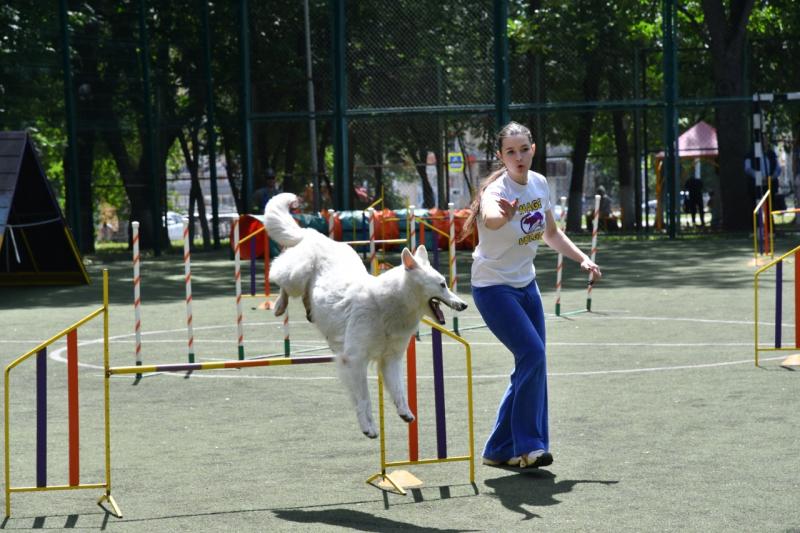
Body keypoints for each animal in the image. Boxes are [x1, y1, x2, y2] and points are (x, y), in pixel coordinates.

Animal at [266, 193, 466, 438]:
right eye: (442, 284)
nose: (464, 305)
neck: (389, 306)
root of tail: (313, 233)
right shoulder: (354, 360)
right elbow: (364, 399)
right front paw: (368, 427)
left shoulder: (391, 360)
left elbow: (399, 390)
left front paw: (405, 412)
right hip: (296, 276)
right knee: (280, 278)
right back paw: (278, 305)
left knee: (303, 295)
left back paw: (309, 311)